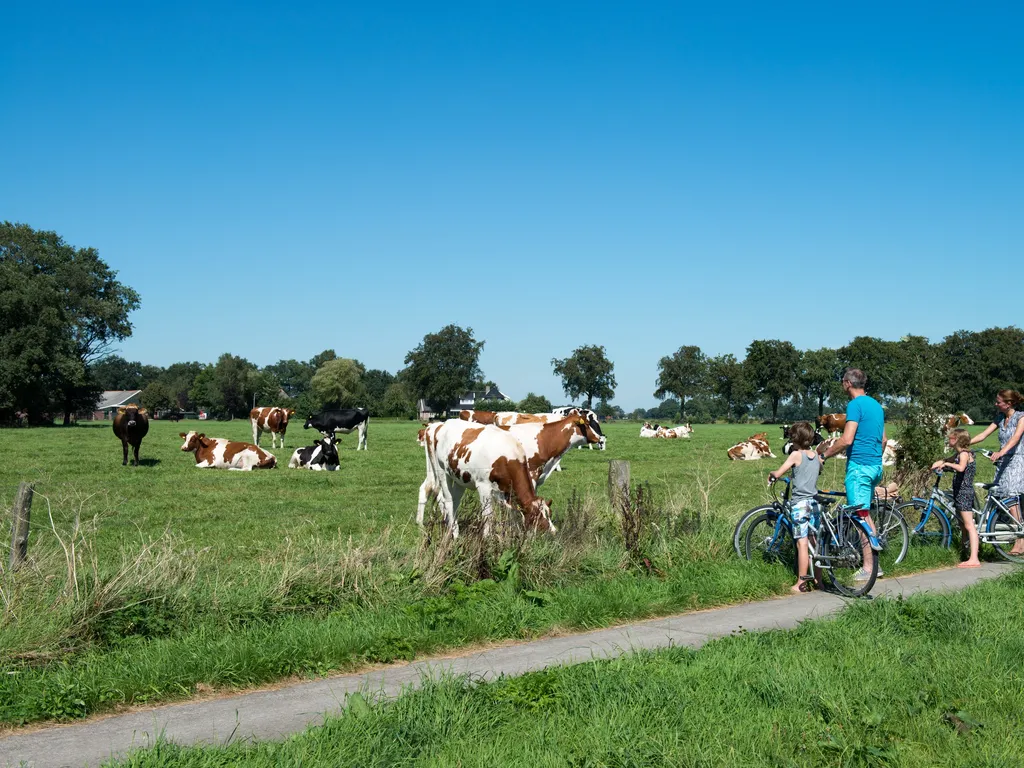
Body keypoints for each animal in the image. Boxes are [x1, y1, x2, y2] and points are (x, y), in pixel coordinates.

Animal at [415, 421, 557, 540]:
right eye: (535, 516)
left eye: (549, 513)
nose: (553, 532)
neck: (506, 456)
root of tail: (440, 425)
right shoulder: (483, 486)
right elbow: (488, 516)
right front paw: (487, 539)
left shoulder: (506, 493)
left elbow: (511, 514)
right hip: (442, 472)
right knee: (447, 499)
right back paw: (454, 533)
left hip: (460, 478)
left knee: (453, 499)